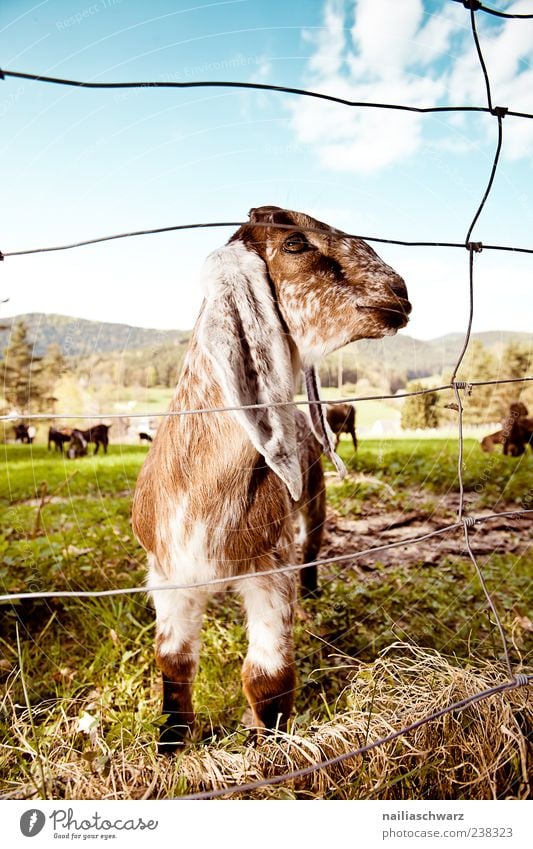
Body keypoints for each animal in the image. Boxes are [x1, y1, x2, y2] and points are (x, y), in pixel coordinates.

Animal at [131, 204, 410, 748]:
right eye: (295, 243)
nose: (399, 292)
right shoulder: (167, 574)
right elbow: (173, 662)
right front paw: (172, 743)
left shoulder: (271, 569)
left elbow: (267, 677)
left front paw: (270, 747)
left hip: (316, 496)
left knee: (313, 544)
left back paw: (315, 586)